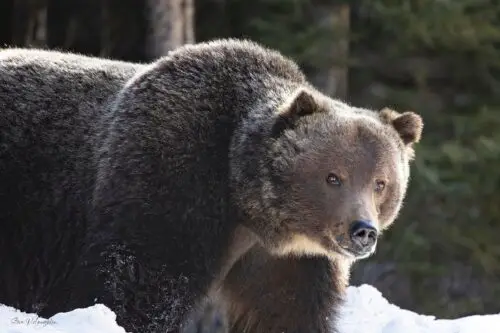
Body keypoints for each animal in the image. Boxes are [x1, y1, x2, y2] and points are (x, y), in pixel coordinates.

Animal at [0, 39, 422, 332]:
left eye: (381, 183)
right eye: (333, 177)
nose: (362, 230)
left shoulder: (286, 261)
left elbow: (286, 311)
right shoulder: (168, 177)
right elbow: (137, 284)